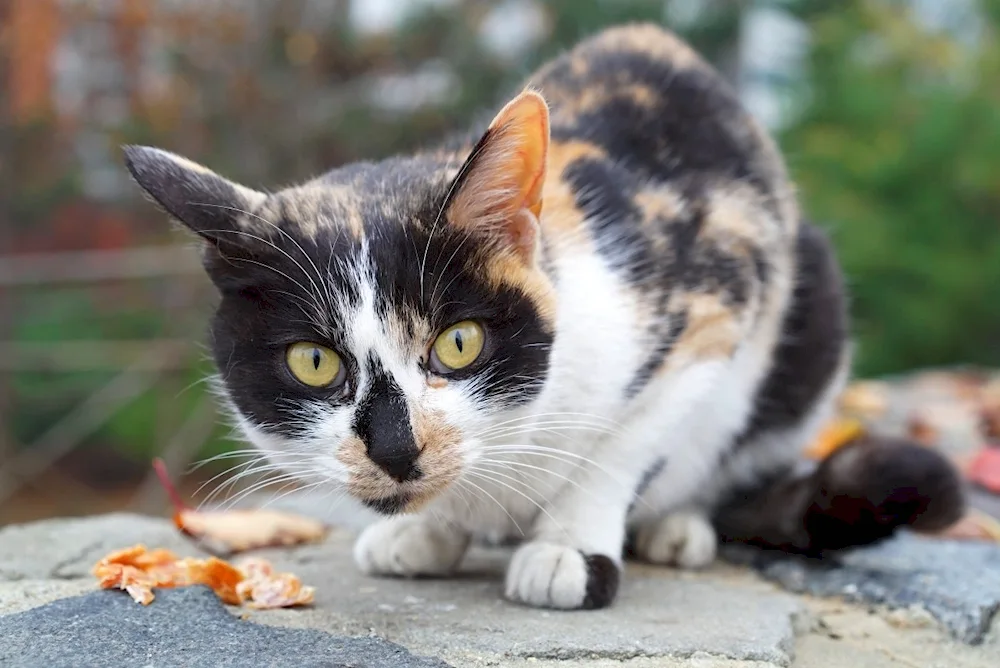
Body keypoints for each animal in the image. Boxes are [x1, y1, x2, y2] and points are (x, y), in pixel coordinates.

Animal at [121, 24, 964, 612]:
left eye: (459, 344)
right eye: (314, 362)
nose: (395, 448)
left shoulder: (716, 299)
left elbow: (626, 444)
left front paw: (568, 547)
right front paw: (430, 529)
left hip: (812, 318)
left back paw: (677, 526)